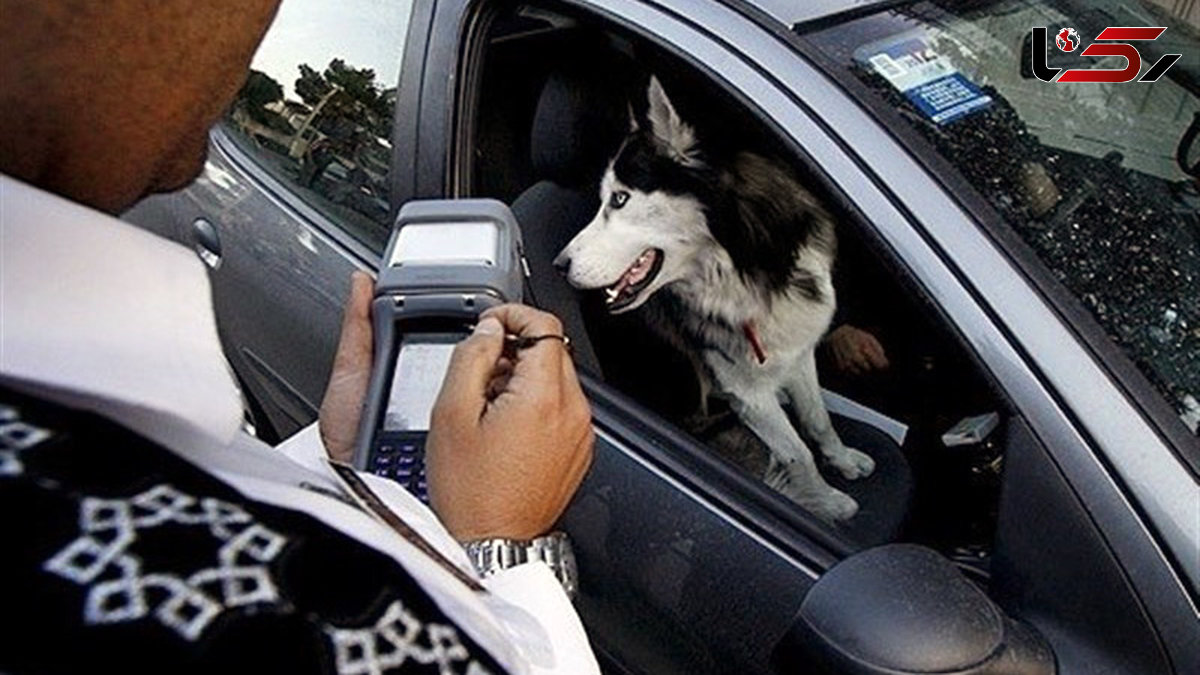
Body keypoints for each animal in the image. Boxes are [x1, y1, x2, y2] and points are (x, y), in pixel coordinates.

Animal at [552, 77, 873, 521]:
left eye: (619, 199)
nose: (559, 265)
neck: (748, 270)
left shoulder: (797, 352)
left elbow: (818, 420)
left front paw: (842, 460)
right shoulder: (746, 391)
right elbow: (797, 453)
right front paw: (826, 503)